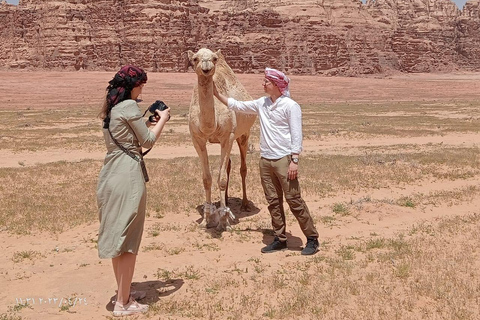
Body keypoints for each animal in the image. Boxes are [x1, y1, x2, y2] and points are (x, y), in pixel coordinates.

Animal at [188, 47, 256, 230]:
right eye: (195, 59)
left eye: (214, 58)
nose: (206, 68)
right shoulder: (197, 139)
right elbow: (207, 179)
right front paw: (206, 219)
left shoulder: (228, 136)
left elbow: (222, 179)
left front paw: (224, 221)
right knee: (229, 165)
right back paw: (225, 202)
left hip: (243, 135)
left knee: (243, 168)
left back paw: (244, 204)